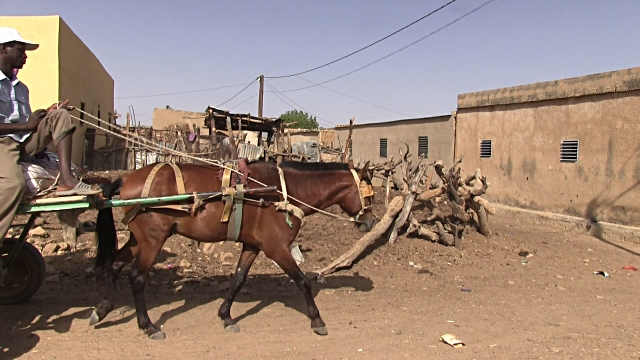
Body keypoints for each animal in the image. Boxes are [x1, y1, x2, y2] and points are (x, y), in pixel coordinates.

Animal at [92, 161, 378, 340]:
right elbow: (303, 282)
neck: (282, 193)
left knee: (114, 264)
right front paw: (317, 320)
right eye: (370, 195)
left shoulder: (252, 246)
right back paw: (148, 326)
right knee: (137, 277)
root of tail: (128, 178)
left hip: (138, 239)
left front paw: (226, 316)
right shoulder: (277, 249)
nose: (371, 222)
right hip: (153, 240)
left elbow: (238, 279)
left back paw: (102, 309)